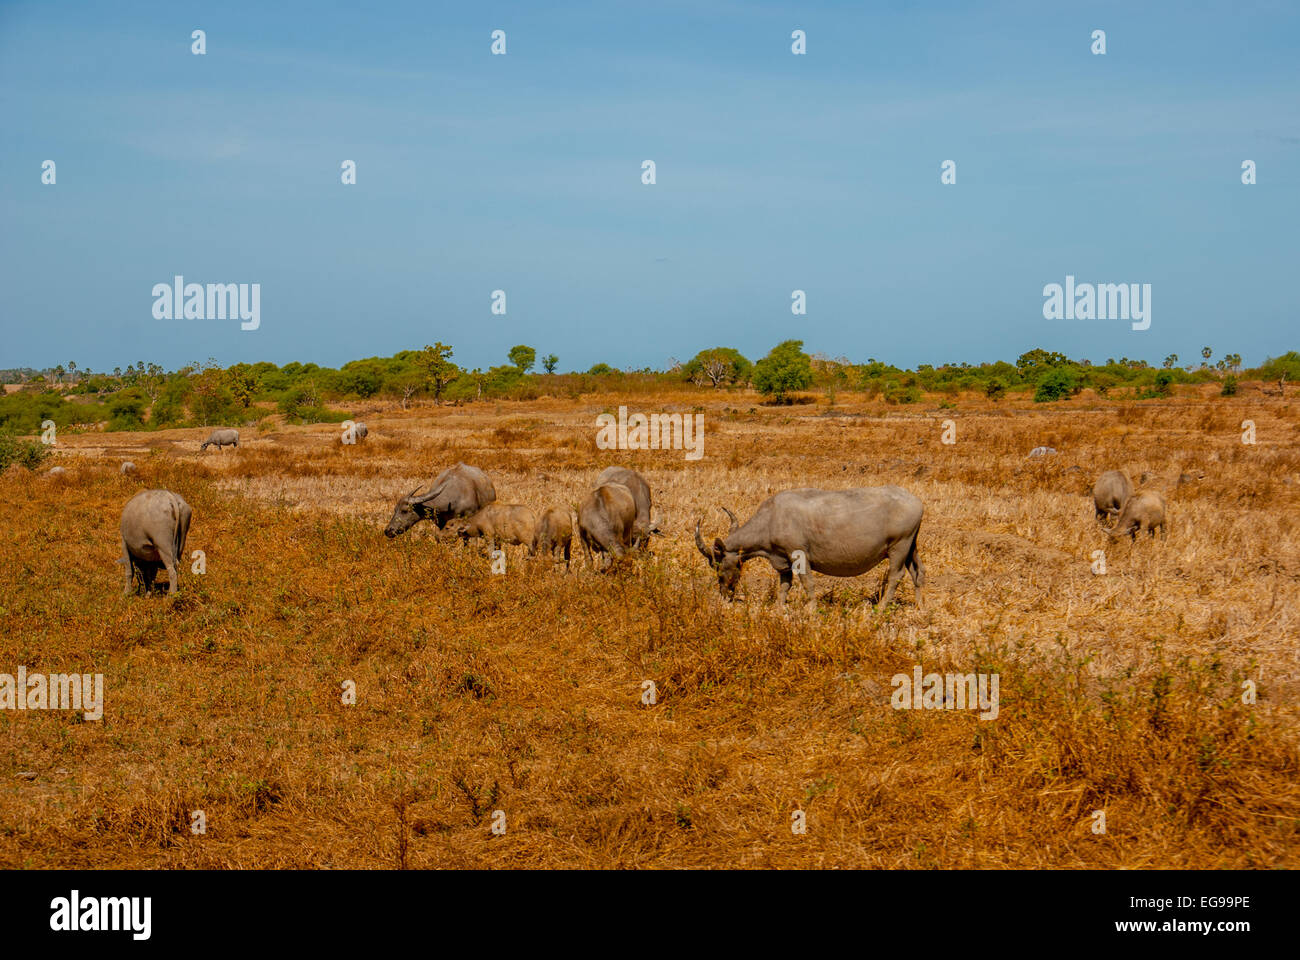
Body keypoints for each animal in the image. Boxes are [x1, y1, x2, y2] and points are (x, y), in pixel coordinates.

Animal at [691, 486, 925, 606]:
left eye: (716, 564)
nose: (725, 593)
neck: (772, 516)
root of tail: (917, 503)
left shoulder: (799, 556)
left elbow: (808, 583)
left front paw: (810, 609)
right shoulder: (783, 562)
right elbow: (784, 586)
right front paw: (779, 608)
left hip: (899, 547)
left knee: (896, 576)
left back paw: (882, 607)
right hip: (911, 547)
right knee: (918, 573)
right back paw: (920, 606)